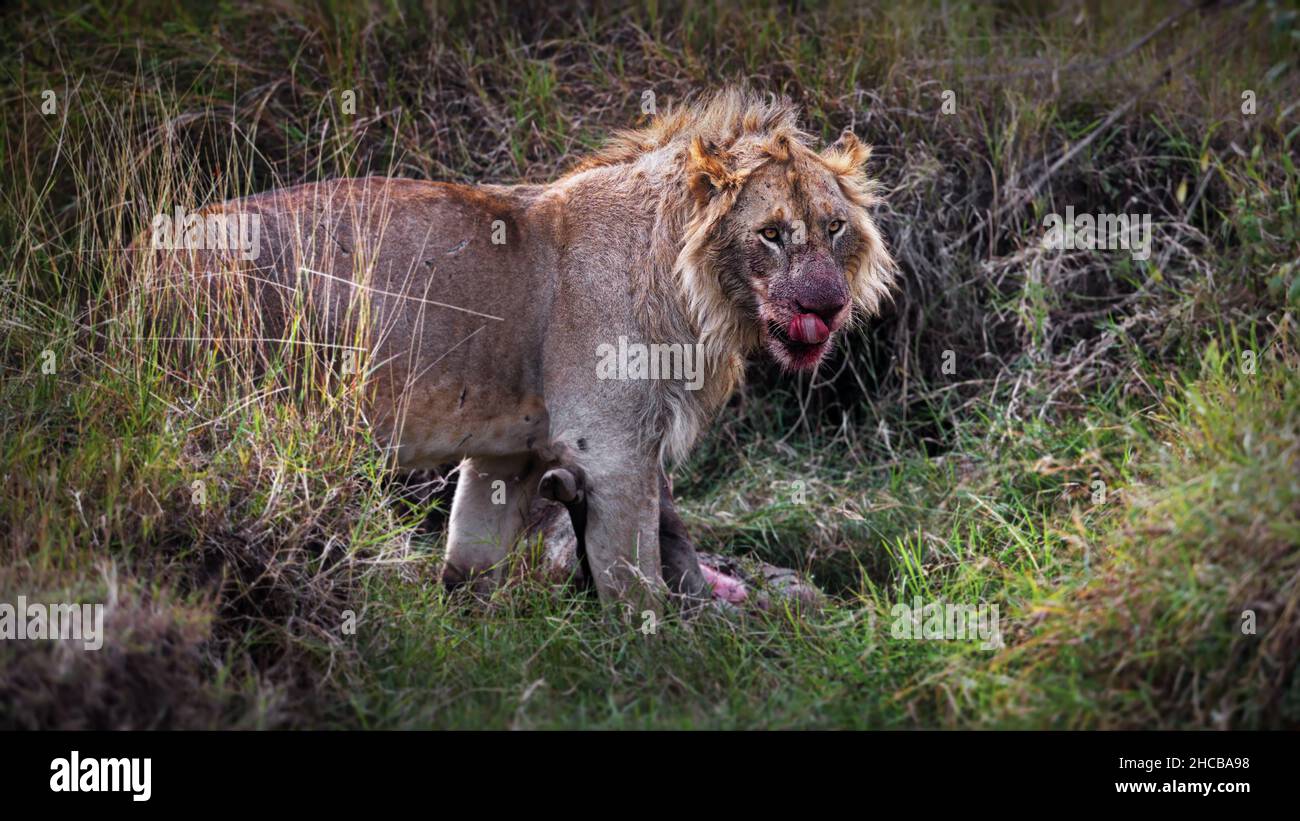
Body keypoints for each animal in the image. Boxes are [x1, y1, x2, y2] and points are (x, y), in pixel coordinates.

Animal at [144, 91, 894, 615]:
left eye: (834, 228)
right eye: (771, 233)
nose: (828, 306)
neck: (697, 292)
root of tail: (146, 255)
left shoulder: (509, 452)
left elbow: (468, 566)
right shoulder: (611, 447)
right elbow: (635, 579)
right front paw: (658, 654)